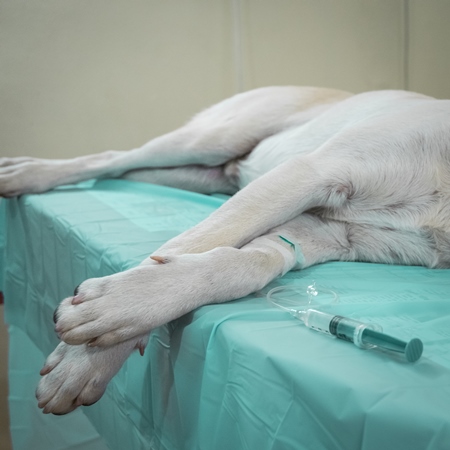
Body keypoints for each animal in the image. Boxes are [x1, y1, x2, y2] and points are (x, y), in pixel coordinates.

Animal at [0, 86, 450, 414]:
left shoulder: (333, 232)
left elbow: (244, 263)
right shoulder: (312, 172)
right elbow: (196, 240)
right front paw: (86, 356)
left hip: (198, 174)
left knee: (124, 170)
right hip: (210, 140)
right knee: (114, 157)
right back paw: (25, 173)